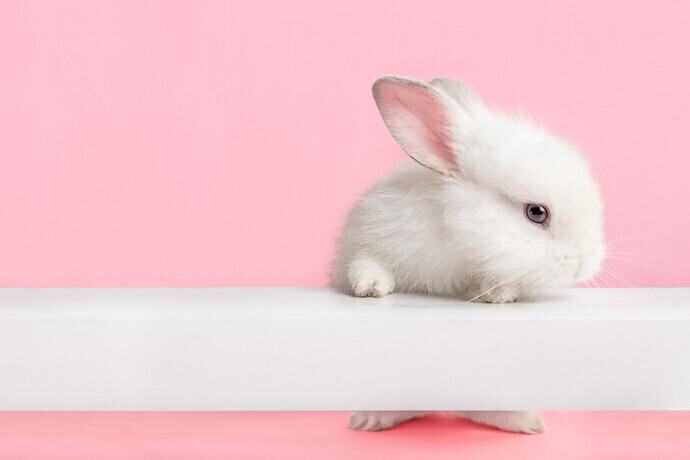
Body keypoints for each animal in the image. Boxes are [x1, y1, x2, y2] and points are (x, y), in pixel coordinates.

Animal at [330, 76, 600, 434]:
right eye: (537, 212)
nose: (586, 264)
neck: (459, 244)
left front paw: (492, 295)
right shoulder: (364, 240)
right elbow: (365, 265)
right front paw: (370, 289)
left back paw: (527, 423)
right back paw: (369, 420)